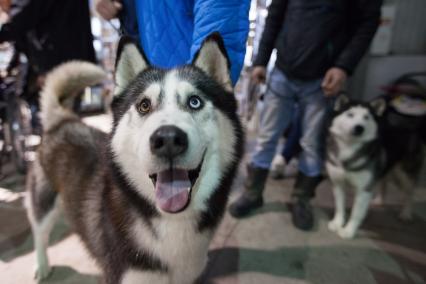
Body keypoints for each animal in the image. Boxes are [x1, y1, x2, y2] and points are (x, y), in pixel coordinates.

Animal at [26, 33, 243, 284]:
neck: (170, 220)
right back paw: (42, 265)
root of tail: (62, 120)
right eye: (144, 105)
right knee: (39, 233)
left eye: (195, 101)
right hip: (44, 203)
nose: (168, 139)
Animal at [326, 95, 422, 240]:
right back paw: (379, 200)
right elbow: (339, 206)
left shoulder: (364, 189)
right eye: (350, 114)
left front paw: (348, 231)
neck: (349, 148)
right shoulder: (337, 183)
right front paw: (337, 223)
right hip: (386, 168)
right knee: (384, 182)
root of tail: (410, 127)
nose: (359, 128)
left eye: (366, 117)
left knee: (410, 193)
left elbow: (356, 213)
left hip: (404, 174)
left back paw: (406, 213)